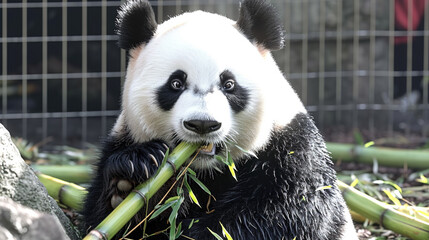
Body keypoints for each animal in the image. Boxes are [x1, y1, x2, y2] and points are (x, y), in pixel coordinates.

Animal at [82, 0, 356, 240]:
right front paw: (128, 180)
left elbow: (284, 213)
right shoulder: (124, 136)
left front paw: (201, 232)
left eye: (229, 84)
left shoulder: (291, 146)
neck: (206, 171)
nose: (203, 124)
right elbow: (105, 219)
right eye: (176, 83)